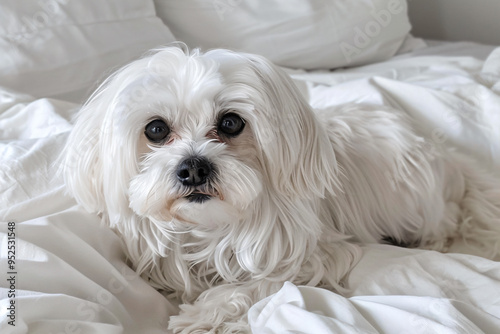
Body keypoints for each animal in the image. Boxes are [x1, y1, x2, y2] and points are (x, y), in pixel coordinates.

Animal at [63, 45, 500, 332]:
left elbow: (254, 284)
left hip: (417, 201)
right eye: (155, 129)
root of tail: (445, 151)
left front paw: (202, 315)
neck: (212, 227)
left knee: (445, 223)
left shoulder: (316, 256)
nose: (194, 168)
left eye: (231, 123)